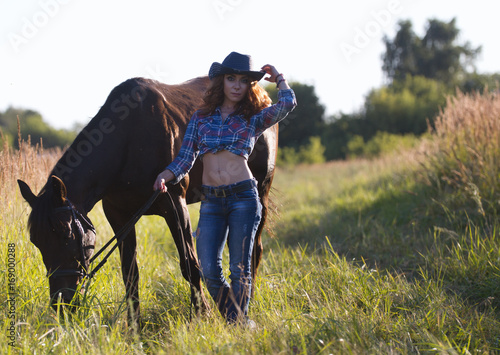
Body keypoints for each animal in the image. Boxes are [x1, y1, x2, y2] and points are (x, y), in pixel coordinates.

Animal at [18, 77, 278, 322]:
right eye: (36, 241)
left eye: (66, 234)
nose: (61, 305)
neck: (129, 140)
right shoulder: (119, 216)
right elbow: (130, 273)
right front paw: (135, 327)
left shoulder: (175, 206)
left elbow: (190, 265)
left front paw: (203, 315)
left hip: (260, 193)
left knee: (253, 250)